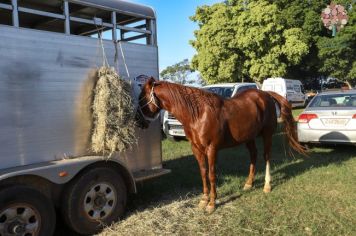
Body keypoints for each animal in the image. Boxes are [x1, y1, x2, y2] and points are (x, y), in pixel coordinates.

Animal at [138, 76, 304, 213]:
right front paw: (203, 200)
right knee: (253, 156)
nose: (139, 122)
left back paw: (267, 186)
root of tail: (266, 94)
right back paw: (248, 184)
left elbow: (212, 174)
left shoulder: (212, 149)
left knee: (266, 156)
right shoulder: (196, 149)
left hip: (267, 134)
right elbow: (203, 173)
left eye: (142, 98)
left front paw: (212, 204)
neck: (198, 114)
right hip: (249, 137)